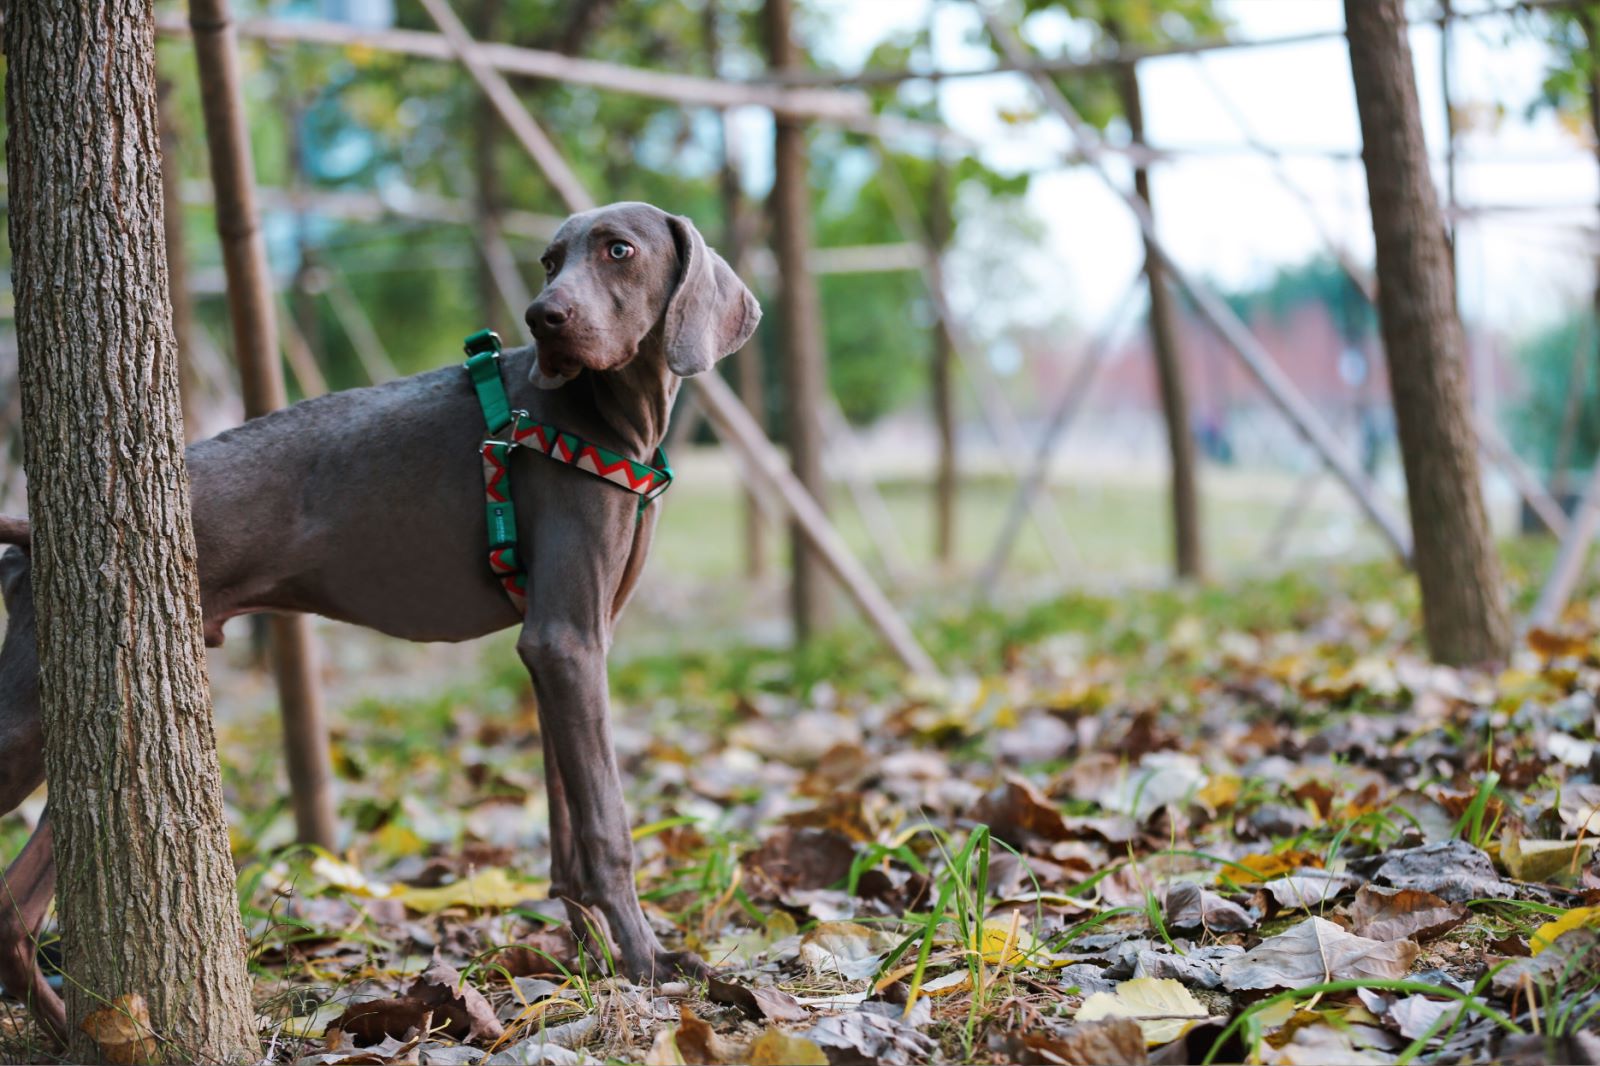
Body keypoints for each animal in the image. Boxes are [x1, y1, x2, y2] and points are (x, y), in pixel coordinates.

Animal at [0, 201, 761, 1037]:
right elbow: (607, 826)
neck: (603, 415)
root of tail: (33, 531)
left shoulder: (560, 649)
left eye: (618, 251)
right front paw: (649, 962)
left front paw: (591, 962)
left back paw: (71, 1030)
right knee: (11, 902)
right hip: (32, 721)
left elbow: (566, 828)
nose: (543, 317)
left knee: (13, 908)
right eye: (549, 261)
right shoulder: (567, 642)